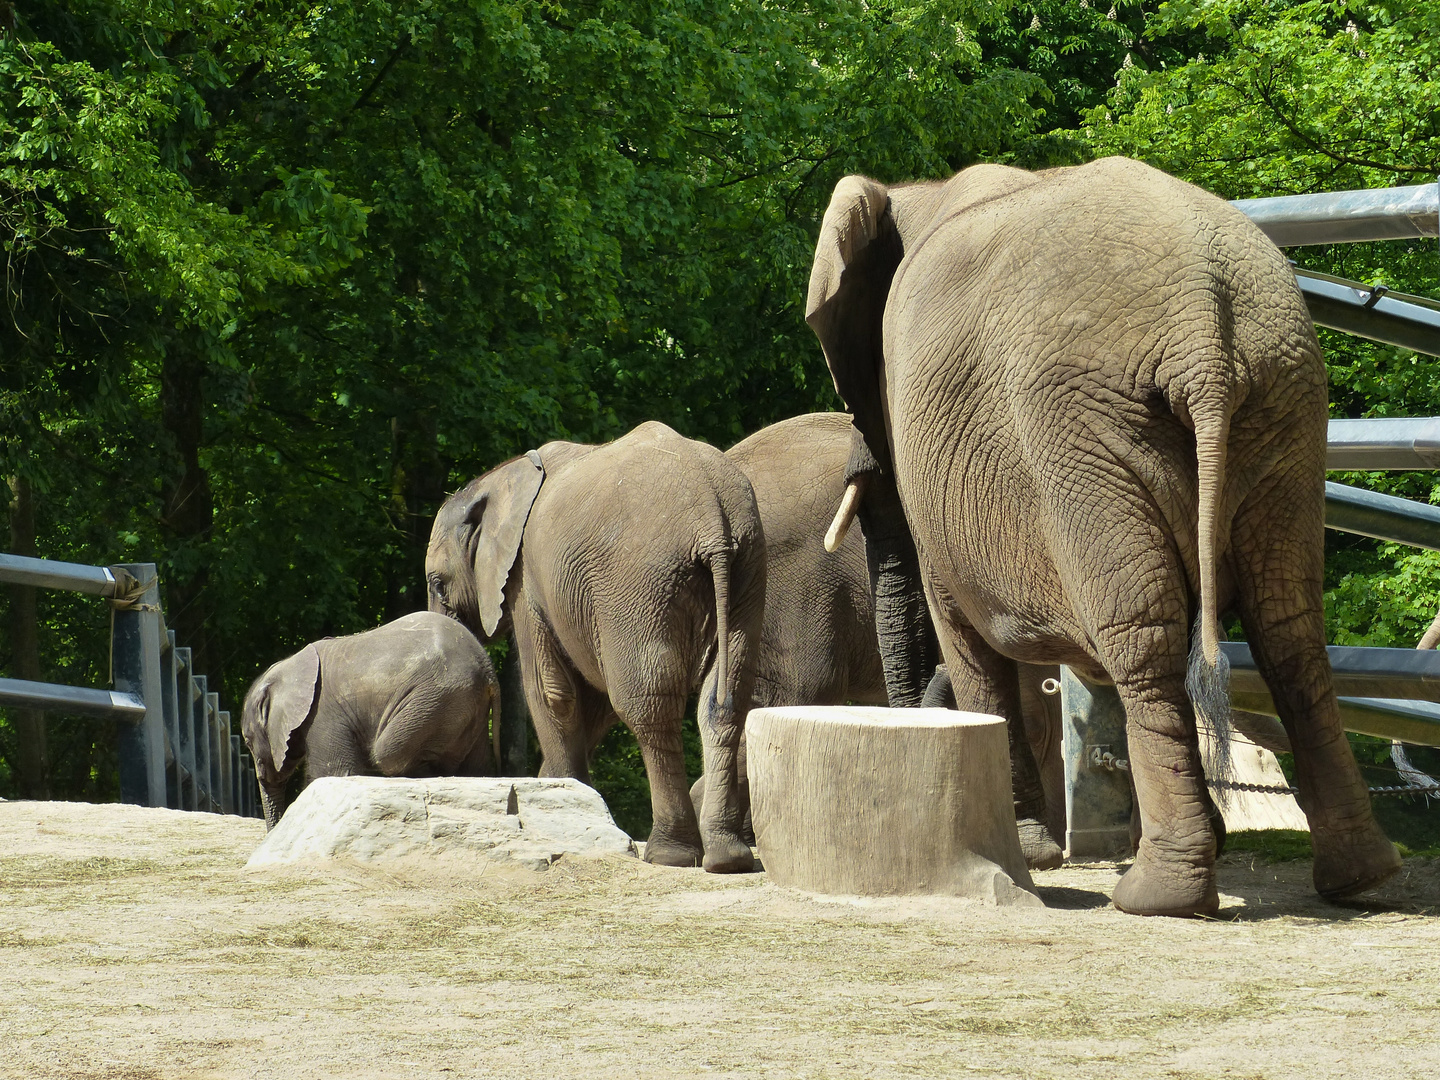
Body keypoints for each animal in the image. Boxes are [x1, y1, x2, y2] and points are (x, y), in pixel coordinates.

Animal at [240, 613, 501, 835]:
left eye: (247, 740)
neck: (288, 666)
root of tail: (487, 668)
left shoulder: (323, 714)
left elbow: (333, 773)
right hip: (468, 708)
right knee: (473, 766)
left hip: (437, 696)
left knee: (389, 754)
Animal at [423, 417, 766, 875]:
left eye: (437, 584)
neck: (500, 478)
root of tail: (712, 517)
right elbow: (592, 697)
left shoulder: (524, 578)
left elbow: (550, 690)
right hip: (746, 570)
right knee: (725, 701)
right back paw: (728, 858)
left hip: (640, 583)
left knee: (647, 704)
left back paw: (671, 856)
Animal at [812, 152, 1393, 915]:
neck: (916, 191)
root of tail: (1205, 330)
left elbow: (965, 634)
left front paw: (1032, 853)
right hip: (1285, 403)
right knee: (1287, 628)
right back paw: (1356, 879)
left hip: (1080, 427)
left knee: (1143, 634)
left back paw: (1157, 896)